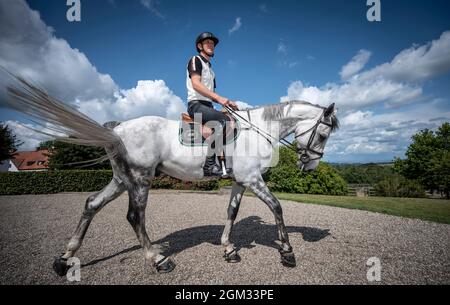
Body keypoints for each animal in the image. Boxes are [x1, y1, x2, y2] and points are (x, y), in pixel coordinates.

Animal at [5, 75, 338, 274]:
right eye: (323, 134)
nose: (309, 165)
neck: (257, 130)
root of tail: (118, 129)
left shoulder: (241, 182)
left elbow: (231, 212)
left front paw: (229, 248)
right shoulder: (254, 180)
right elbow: (277, 208)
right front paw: (287, 252)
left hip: (121, 180)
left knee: (91, 204)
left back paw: (64, 259)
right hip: (140, 179)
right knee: (134, 217)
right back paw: (158, 259)